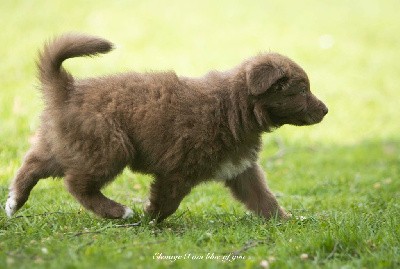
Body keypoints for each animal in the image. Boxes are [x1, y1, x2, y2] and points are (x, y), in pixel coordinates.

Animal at [4, 33, 326, 220]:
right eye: (301, 91)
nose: (325, 110)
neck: (232, 106)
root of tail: (68, 89)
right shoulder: (178, 169)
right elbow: (168, 201)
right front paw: (152, 218)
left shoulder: (241, 168)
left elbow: (263, 198)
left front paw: (285, 221)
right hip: (108, 146)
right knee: (76, 184)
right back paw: (118, 212)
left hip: (68, 144)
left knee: (32, 164)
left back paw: (13, 202)